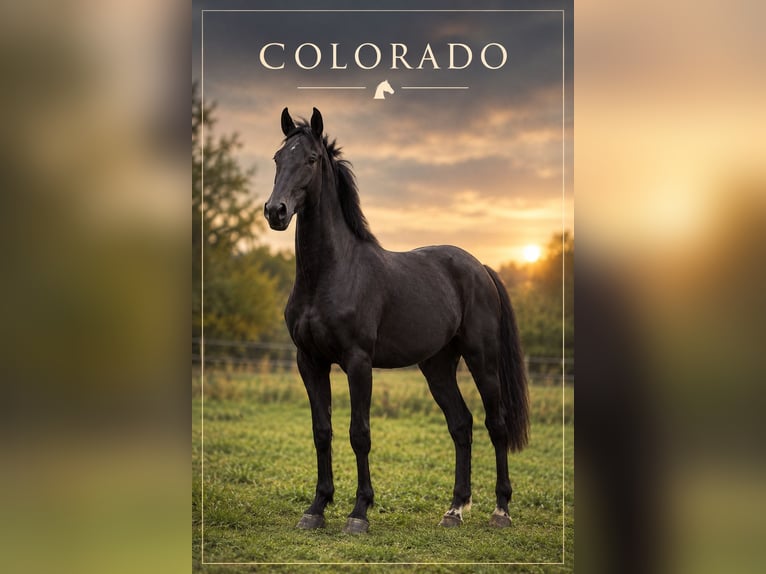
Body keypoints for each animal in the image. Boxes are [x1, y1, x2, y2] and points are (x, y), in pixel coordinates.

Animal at [264, 107, 529, 534]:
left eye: (311, 159)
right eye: (276, 158)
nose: (276, 212)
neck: (331, 272)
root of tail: (480, 268)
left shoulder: (358, 362)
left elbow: (359, 433)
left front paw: (359, 513)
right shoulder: (310, 361)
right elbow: (322, 432)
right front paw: (316, 508)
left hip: (482, 360)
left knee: (496, 424)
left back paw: (500, 510)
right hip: (437, 366)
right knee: (461, 425)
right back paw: (455, 510)